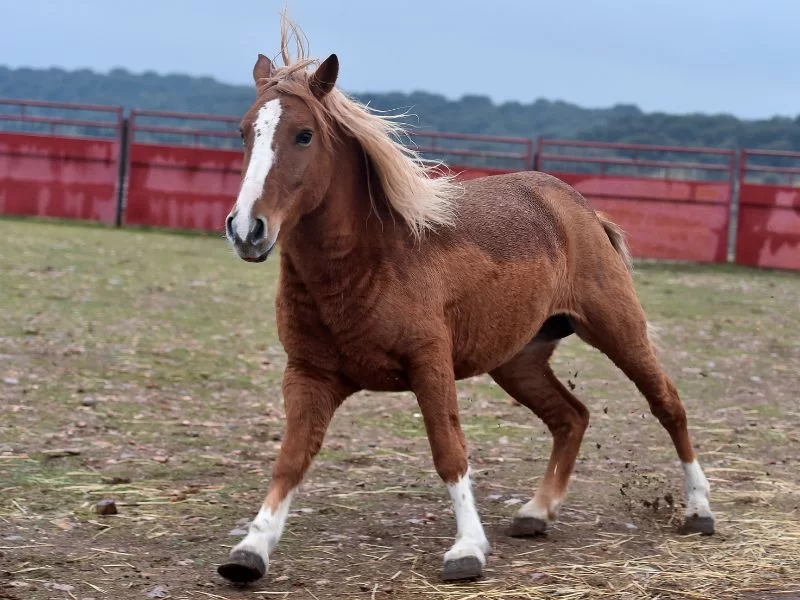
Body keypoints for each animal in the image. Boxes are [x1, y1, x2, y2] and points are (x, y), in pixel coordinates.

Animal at [217, 15, 712, 584]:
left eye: (304, 134)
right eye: (244, 133)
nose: (247, 229)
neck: (367, 265)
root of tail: (580, 208)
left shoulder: (430, 366)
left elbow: (449, 451)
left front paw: (467, 550)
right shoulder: (308, 376)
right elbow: (291, 460)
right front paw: (251, 549)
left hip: (617, 330)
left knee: (667, 404)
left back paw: (699, 509)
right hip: (519, 361)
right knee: (571, 417)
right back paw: (537, 512)